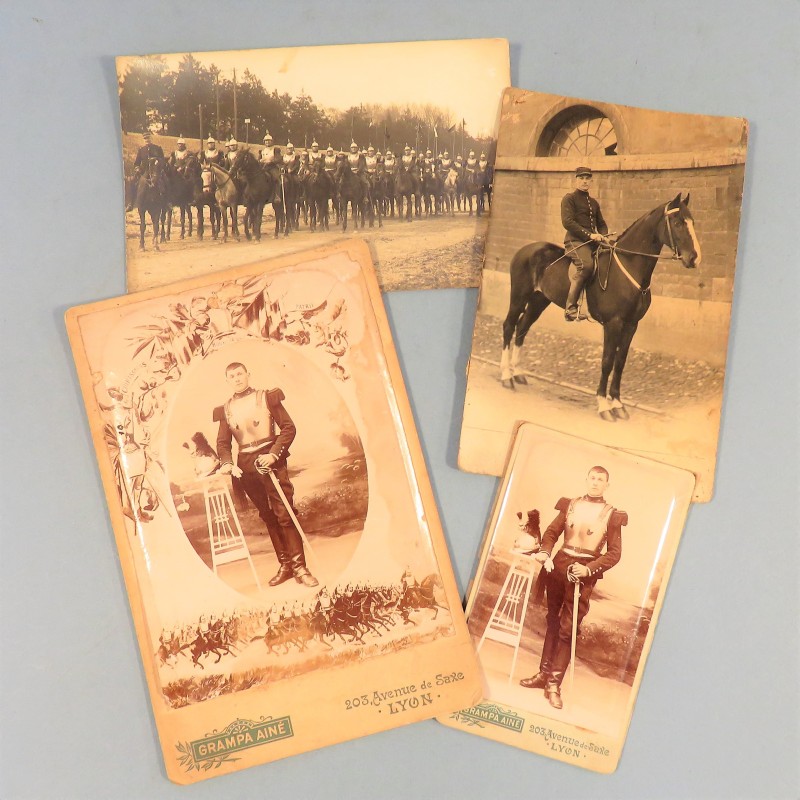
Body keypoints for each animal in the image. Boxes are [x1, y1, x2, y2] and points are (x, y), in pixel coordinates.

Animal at [504, 195, 704, 418]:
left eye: (692, 222)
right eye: (678, 223)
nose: (694, 258)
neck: (629, 267)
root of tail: (525, 249)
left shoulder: (631, 325)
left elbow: (620, 362)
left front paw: (617, 404)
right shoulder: (613, 324)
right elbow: (607, 361)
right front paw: (603, 406)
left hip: (539, 301)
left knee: (522, 328)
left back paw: (518, 373)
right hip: (519, 297)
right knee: (509, 326)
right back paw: (506, 377)